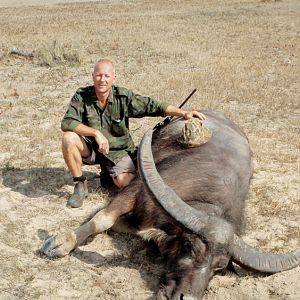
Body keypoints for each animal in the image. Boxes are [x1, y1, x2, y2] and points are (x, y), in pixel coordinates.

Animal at [41, 110, 298, 300]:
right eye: (189, 246)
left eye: (219, 267)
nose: (187, 297)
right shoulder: (134, 190)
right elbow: (103, 219)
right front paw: (60, 243)